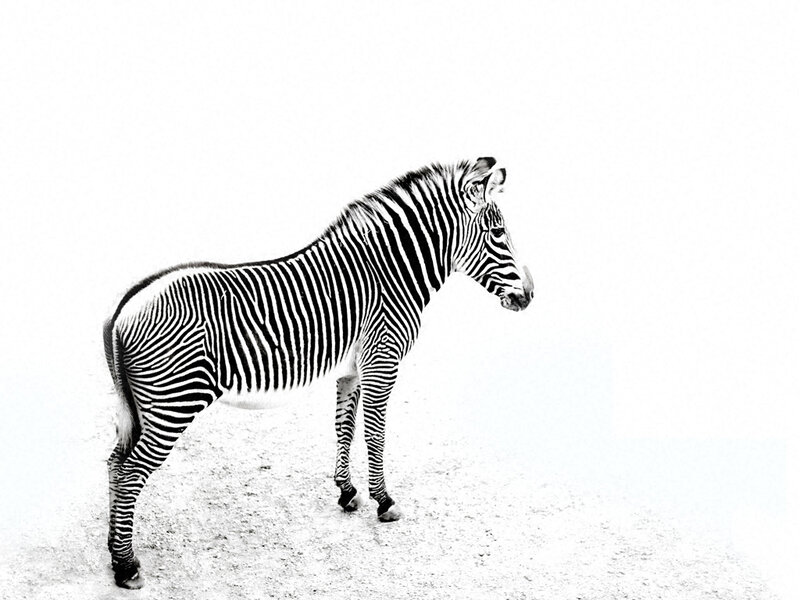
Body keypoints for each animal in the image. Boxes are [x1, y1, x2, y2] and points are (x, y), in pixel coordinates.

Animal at [103, 157, 534, 588]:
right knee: (130, 473)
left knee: (114, 463)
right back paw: (127, 566)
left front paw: (347, 491)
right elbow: (375, 434)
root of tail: (124, 307)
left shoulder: (353, 369)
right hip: (174, 402)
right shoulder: (383, 360)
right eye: (498, 233)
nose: (529, 296)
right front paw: (384, 501)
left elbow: (345, 427)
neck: (389, 273)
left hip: (141, 408)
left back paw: (114, 551)